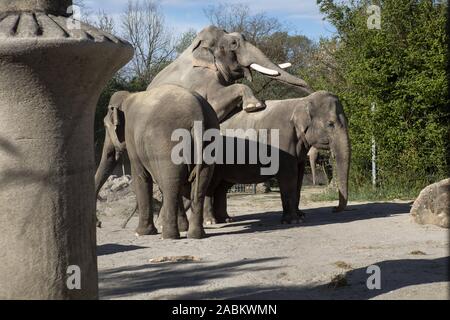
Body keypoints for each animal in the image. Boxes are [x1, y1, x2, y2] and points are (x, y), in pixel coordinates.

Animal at [101, 84, 220, 239]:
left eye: (105, 126)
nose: (122, 226)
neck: (128, 97)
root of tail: (198, 114)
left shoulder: (132, 137)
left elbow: (141, 177)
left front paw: (141, 233)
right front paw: (182, 227)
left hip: (168, 142)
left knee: (171, 183)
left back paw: (168, 235)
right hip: (210, 140)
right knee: (199, 183)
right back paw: (195, 234)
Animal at [201, 90, 352, 225]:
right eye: (330, 124)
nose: (334, 209)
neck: (301, 101)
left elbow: (299, 177)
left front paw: (301, 216)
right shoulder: (282, 140)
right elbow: (288, 177)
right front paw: (293, 221)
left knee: (222, 187)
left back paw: (226, 219)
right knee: (211, 185)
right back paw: (211, 221)